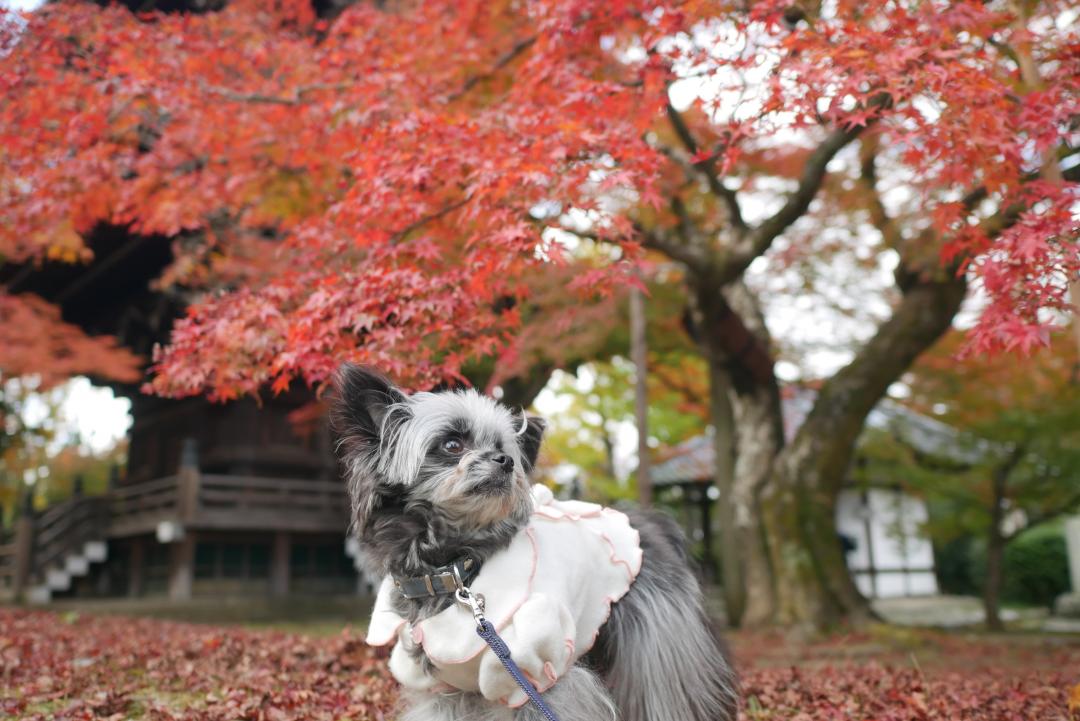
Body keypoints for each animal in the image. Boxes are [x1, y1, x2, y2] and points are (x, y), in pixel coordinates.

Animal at [332, 366, 738, 721]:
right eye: (451, 444)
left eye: (502, 446)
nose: (506, 461)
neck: (453, 569)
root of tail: (650, 522)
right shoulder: (446, 689)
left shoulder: (535, 673)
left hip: (659, 645)